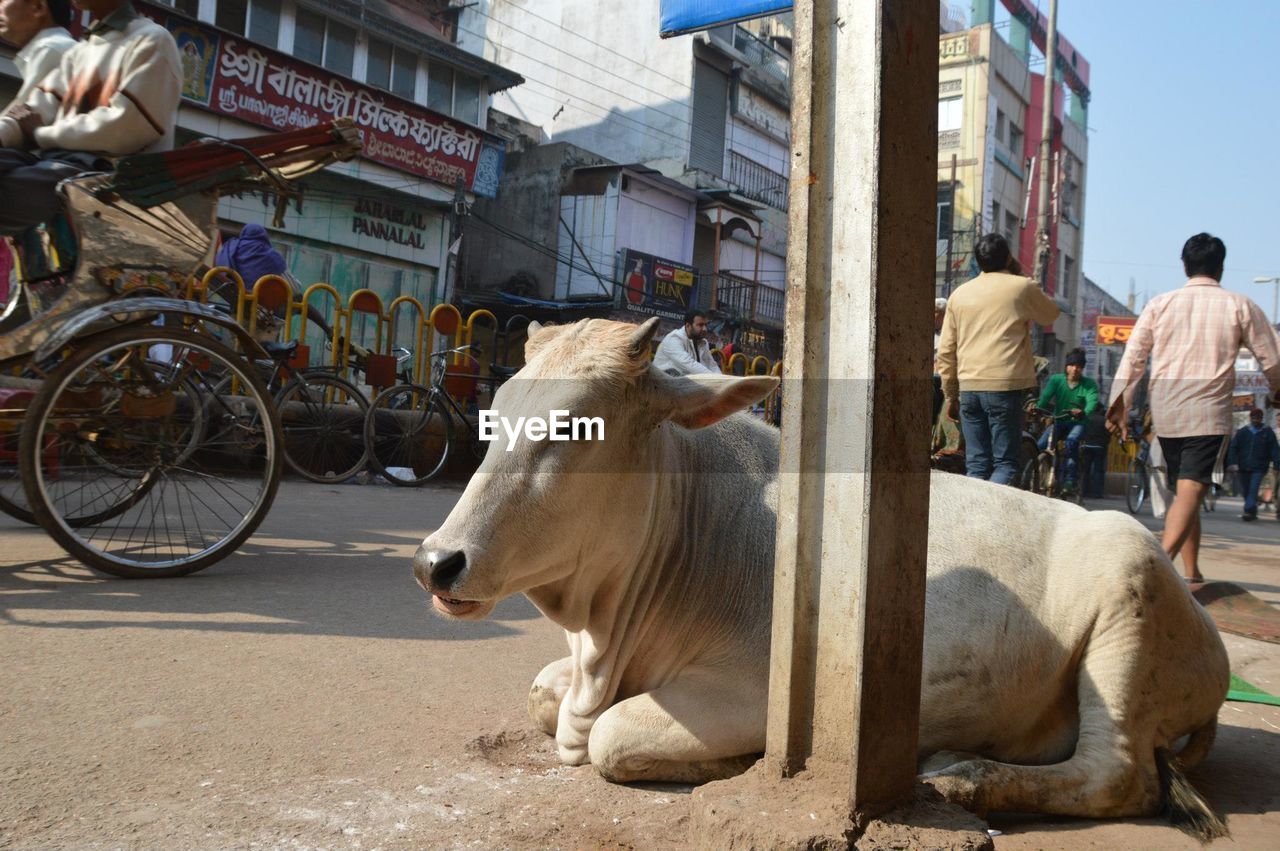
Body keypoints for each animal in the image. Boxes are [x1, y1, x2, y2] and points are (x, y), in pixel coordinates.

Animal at [417, 314, 1228, 834]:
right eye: (493, 413)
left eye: (572, 427)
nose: (436, 561)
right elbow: (541, 695)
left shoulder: (751, 690)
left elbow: (610, 739)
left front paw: (730, 766)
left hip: (1127, 614)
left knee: (1117, 777)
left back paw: (963, 778)